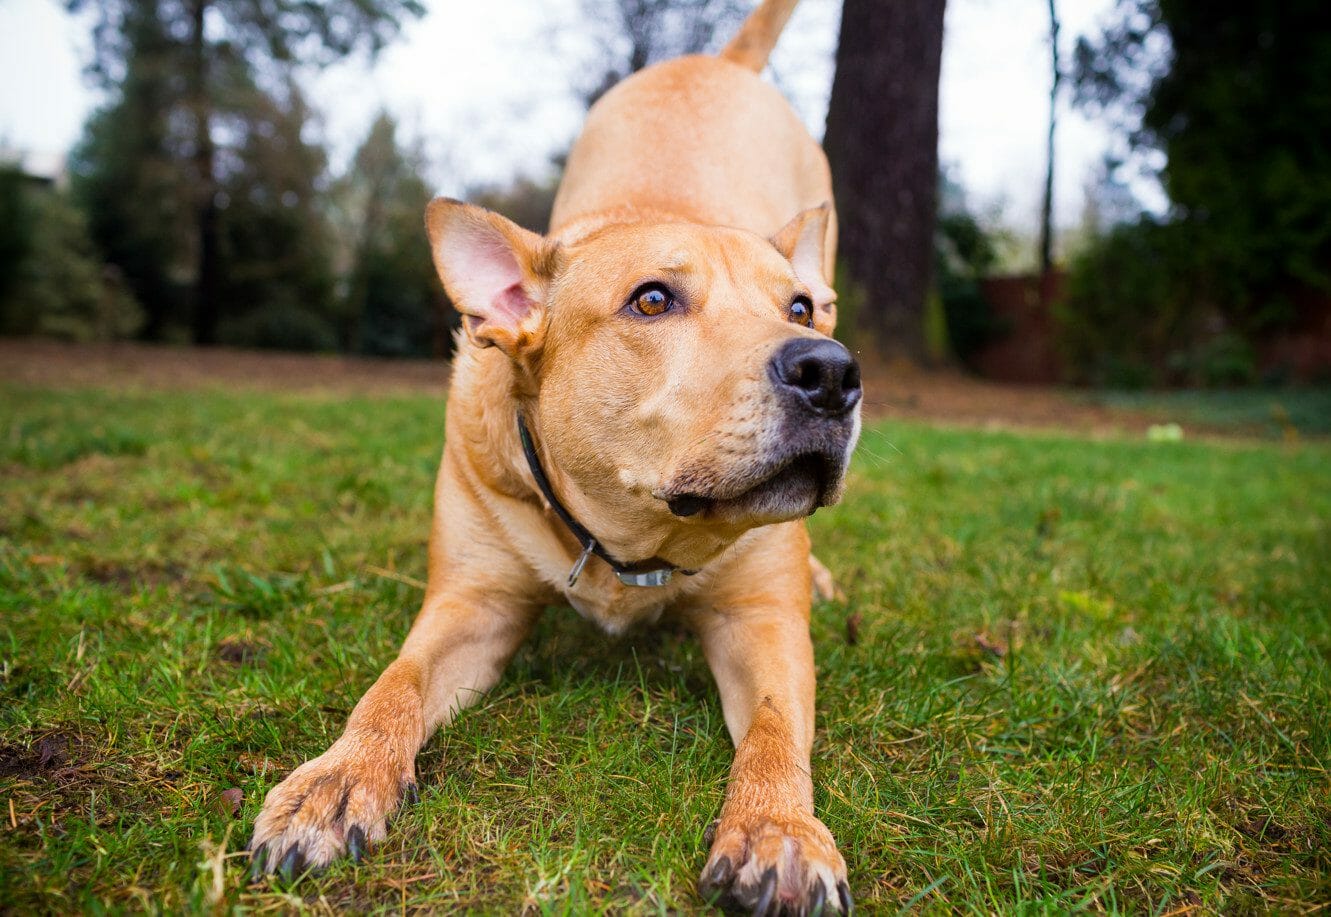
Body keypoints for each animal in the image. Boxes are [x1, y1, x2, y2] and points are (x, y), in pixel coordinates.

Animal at [244, 0, 857, 910]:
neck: (632, 532)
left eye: (799, 309)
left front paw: (777, 826)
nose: (830, 372)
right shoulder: (471, 604)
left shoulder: (762, 620)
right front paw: (338, 777)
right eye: (651, 300)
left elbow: (776, 732)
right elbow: (391, 688)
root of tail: (718, 64)